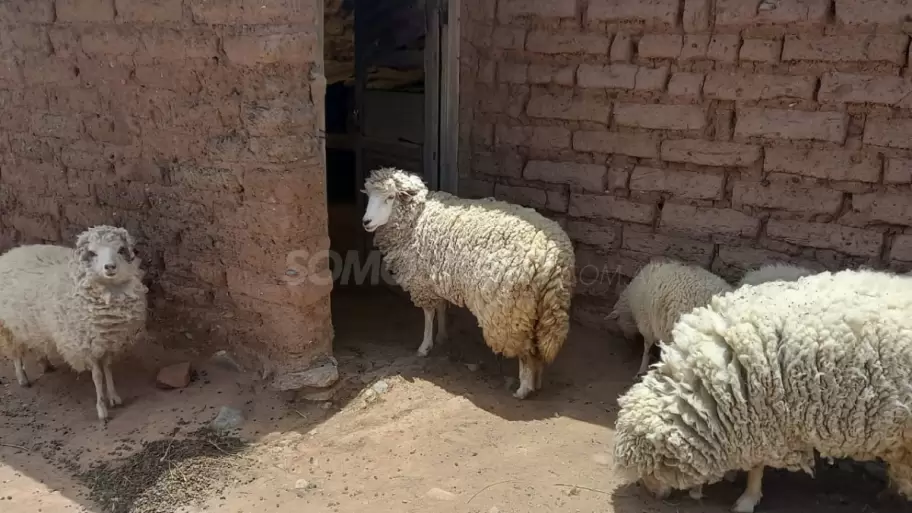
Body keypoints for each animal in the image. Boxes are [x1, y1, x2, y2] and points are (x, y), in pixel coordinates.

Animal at [0, 225, 148, 422]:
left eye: (120, 250)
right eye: (92, 252)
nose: (110, 267)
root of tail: (9, 253)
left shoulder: (107, 342)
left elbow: (108, 369)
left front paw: (114, 397)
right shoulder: (86, 345)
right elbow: (97, 376)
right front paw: (102, 408)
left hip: (33, 326)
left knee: (38, 344)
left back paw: (45, 363)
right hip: (8, 327)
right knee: (16, 353)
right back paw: (23, 378)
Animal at [361, 167, 575, 400]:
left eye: (390, 197)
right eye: (369, 196)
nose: (366, 222)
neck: (417, 219)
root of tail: (554, 259)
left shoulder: (422, 281)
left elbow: (428, 314)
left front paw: (425, 346)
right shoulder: (437, 279)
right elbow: (441, 308)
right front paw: (443, 335)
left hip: (511, 310)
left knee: (525, 351)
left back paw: (523, 389)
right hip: (540, 311)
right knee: (538, 348)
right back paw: (537, 380)